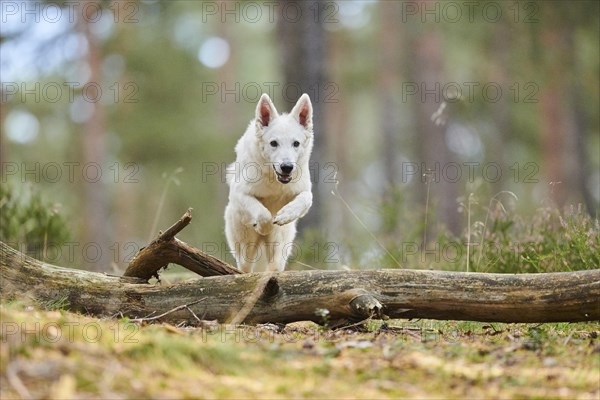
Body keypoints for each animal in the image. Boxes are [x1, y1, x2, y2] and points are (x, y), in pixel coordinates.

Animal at [224, 93, 314, 272]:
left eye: (296, 143)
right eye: (274, 143)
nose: (287, 167)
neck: (275, 183)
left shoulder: (305, 190)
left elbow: (305, 199)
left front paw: (286, 214)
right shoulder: (239, 193)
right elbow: (263, 214)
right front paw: (263, 227)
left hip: (281, 246)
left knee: (274, 266)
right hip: (244, 245)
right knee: (245, 267)